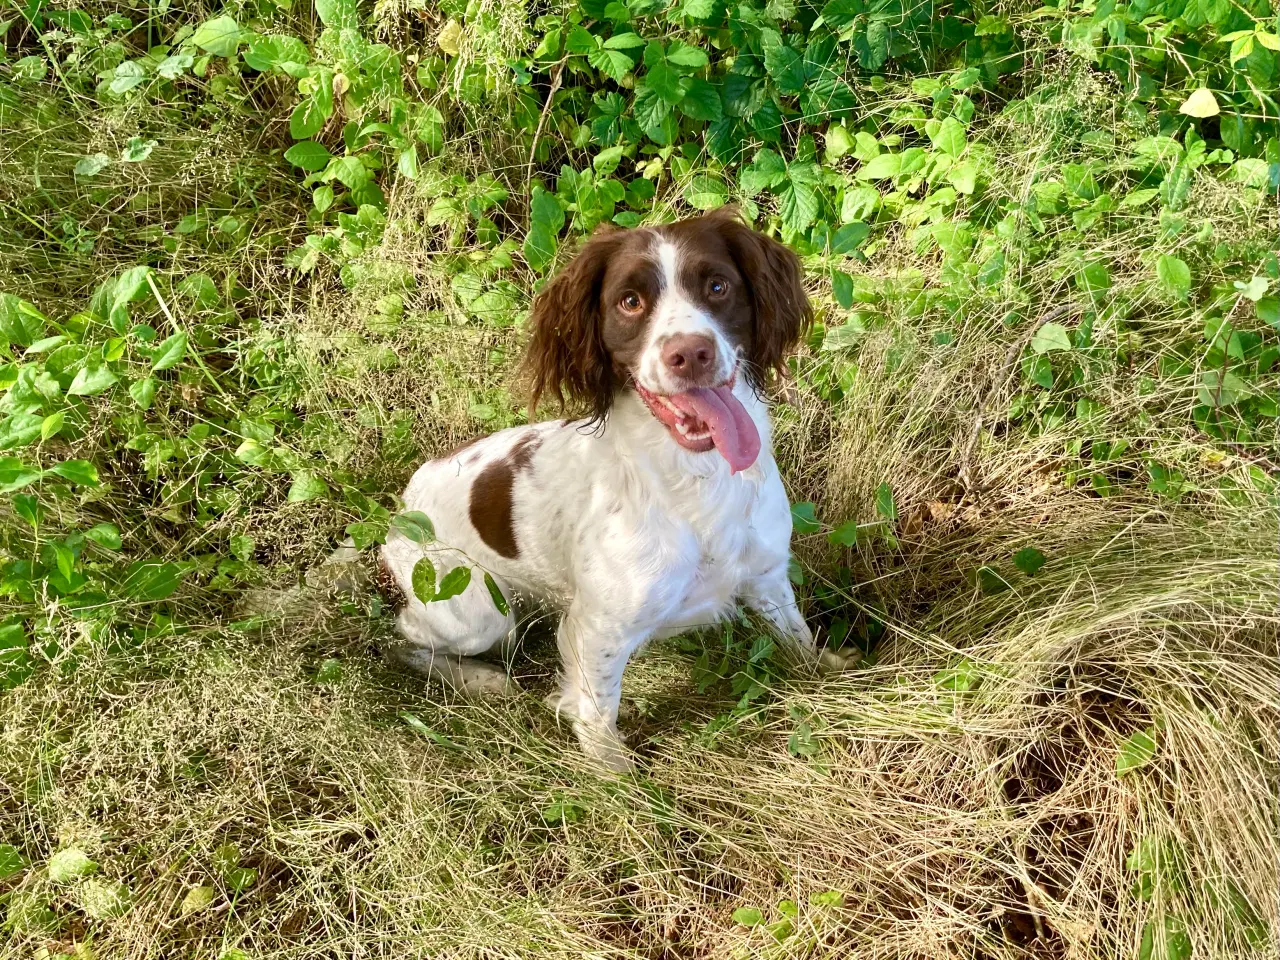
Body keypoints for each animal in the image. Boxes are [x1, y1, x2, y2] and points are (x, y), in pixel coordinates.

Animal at [378, 207, 819, 773]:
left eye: (718, 286)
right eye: (629, 302)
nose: (691, 353)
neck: (694, 480)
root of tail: (404, 503)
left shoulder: (766, 576)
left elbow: (798, 639)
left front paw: (831, 671)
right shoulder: (597, 629)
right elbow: (597, 711)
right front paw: (615, 776)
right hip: (474, 613)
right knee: (405, 638)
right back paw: (478, 679)